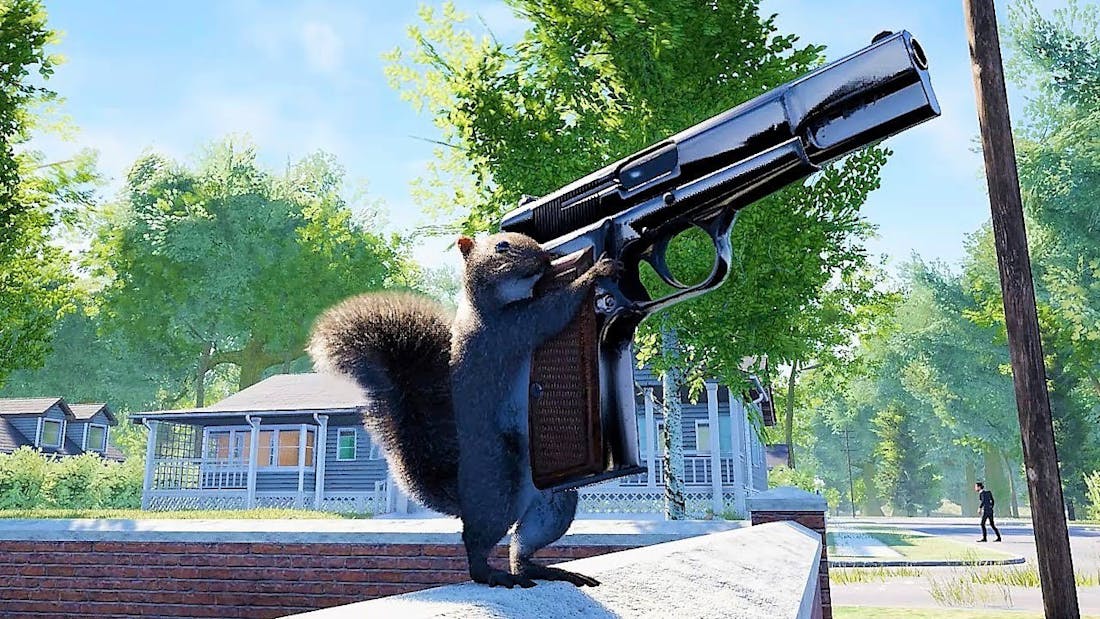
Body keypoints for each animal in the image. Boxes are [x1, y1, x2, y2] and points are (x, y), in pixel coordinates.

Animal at [308, 231, 616, 588]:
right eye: (501, 247)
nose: (544, 257)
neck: (489, 305)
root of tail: (463, 495)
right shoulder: (508, 330)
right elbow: (553, 312)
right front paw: (596, 272)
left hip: (553, 502)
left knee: (523, 545)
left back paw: (542, 569)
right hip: (497, 487)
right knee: (476, 540)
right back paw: (490, 573)